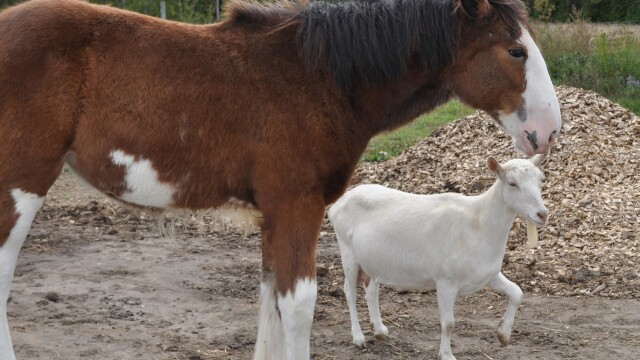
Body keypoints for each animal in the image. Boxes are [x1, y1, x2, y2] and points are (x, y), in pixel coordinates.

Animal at [328, 153, 548, 358]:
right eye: (512, 183)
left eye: (540, 179)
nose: (542, 214)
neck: (478, 223)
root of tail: (338, 204)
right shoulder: (445, 281)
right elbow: (449, 323)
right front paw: (447, 354)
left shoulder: (488, 274)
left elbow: (517, 293)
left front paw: (503, 335)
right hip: (348, 254)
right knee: (350, 292)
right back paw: (358, 337)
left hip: (373, 260)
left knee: (371, 289)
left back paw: (380, 330)